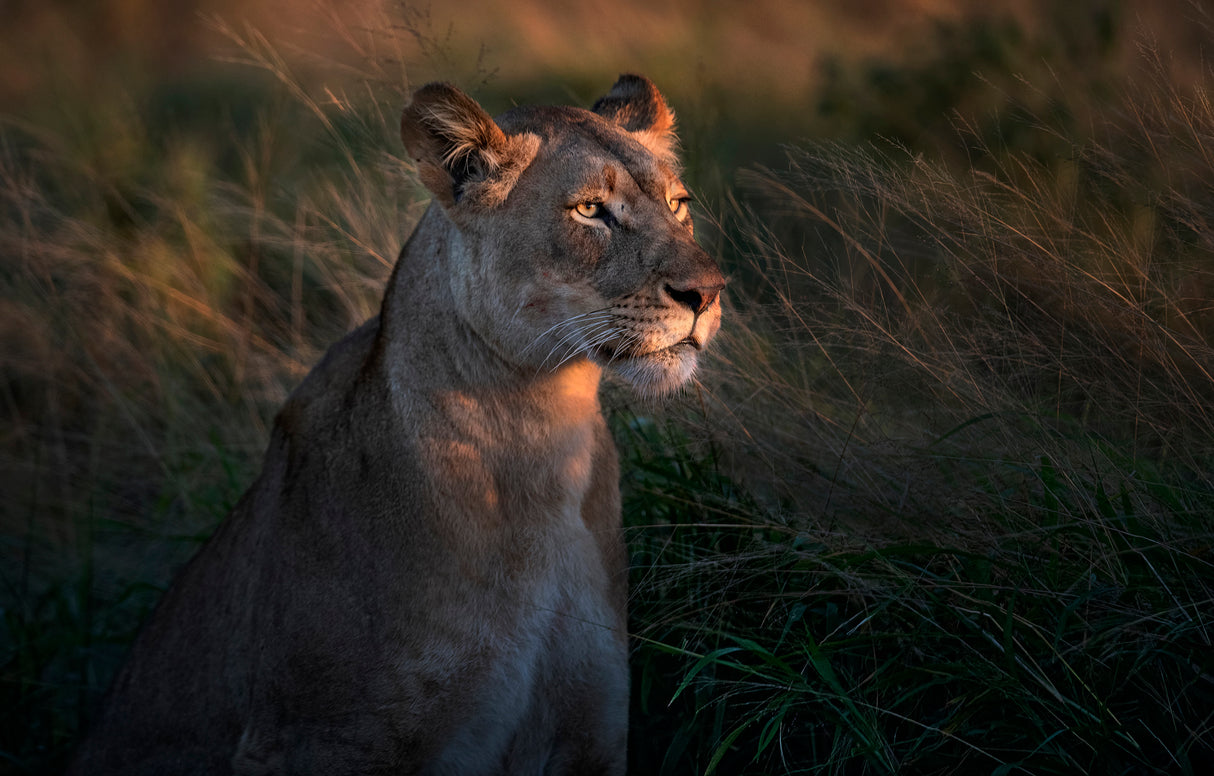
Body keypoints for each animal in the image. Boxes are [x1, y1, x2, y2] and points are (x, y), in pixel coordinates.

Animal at [67, 74, 724, 775]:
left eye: (678, 204)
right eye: (590, 210)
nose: (709, 292)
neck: (544, 431)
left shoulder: (591, 730)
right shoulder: (325, 742)